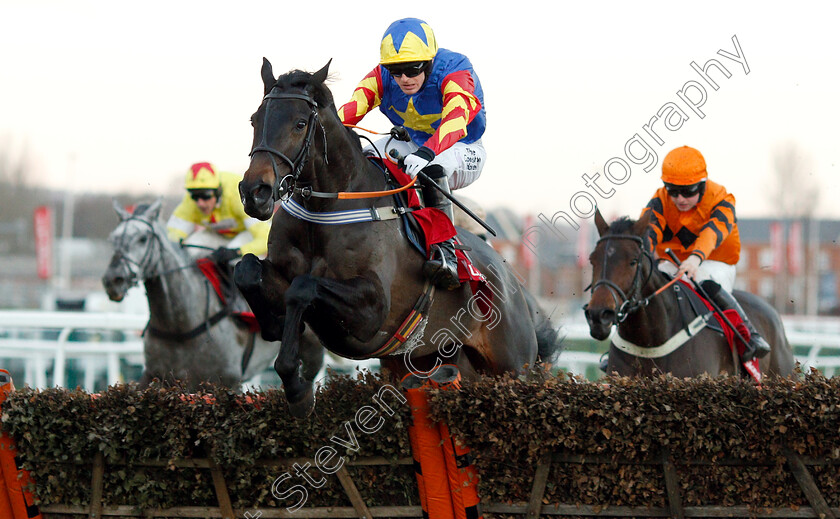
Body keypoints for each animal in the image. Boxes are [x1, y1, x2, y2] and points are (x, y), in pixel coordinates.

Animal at [98, 201, 322, 392]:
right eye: (113, 239)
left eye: (143, 238)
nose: (113, 280)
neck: (179, 326)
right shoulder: (155, 376)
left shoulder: (227, 382)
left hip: (312, 350)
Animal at [233, 60, 560, 418]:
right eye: (254, 120)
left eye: (300, 123)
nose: (255, 192)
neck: (327, 207)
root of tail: (514, 283)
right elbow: (247, 269)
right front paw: (273, 327)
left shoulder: (373, 311)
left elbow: (302, 287)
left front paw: (296, 387)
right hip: (429, 360)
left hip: (512, 366)